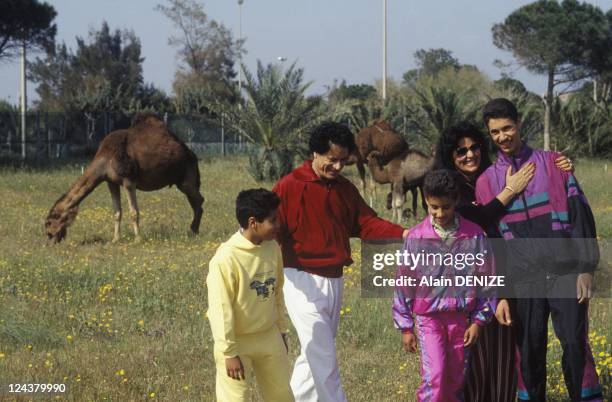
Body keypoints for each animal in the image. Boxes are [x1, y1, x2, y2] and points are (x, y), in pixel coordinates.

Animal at [46, 114, 203, 243]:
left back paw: (193, 231)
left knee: (198, 200)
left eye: (49, 222)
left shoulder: (129, 181)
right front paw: (115, 239)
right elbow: (117, 212)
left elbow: (134, 212)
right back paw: (193, 231)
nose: (49, 239)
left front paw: (138, 239)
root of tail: (192, 154)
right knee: (195, 201)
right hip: (182, 180)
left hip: (187, 174)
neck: (105, 160)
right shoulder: (111, 182)